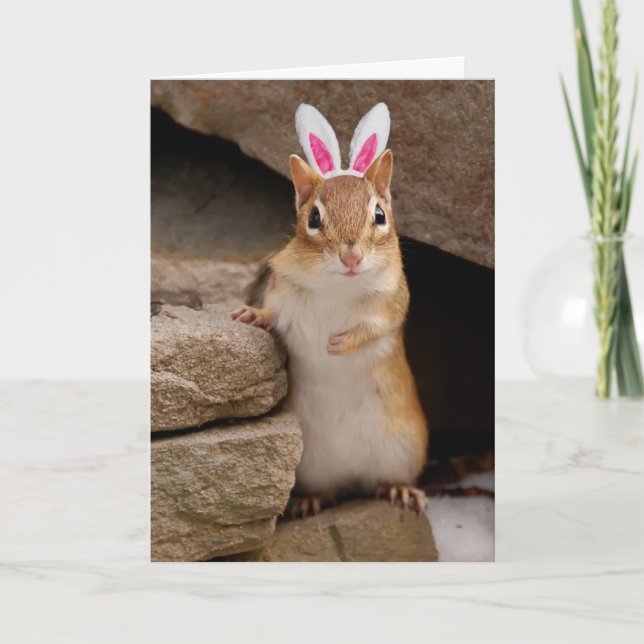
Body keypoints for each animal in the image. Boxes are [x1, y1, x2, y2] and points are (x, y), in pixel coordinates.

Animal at [232, 103, 428, 517]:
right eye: (314, 218)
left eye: (380, 215)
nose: (351, 257)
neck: (339, 286)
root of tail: (353, 478)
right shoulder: (283, 293)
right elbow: (273, 314)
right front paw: (252, 315)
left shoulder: (393, 303)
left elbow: (376, 328)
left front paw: (341, 344)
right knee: (328, 489)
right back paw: (310, 500)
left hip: (404, 450)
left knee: (386, 480)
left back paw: (400, 490)